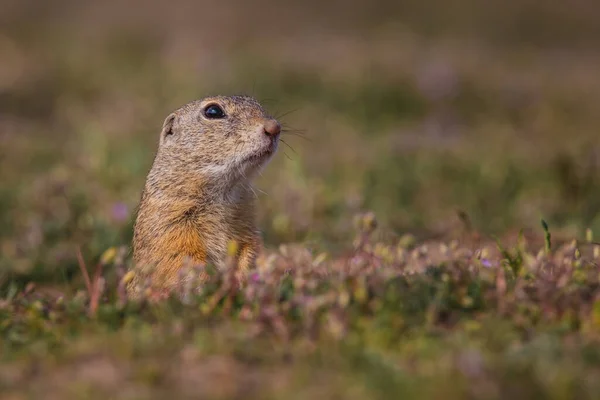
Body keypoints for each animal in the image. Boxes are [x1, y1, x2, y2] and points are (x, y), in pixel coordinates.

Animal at [127, 95, 282, 298]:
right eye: (213, 111)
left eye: (257, 104)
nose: (274, 127)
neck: (225, 191)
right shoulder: (170, 223)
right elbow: (181, 257)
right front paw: (210, 285)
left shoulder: (248, 224)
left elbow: (251, 247)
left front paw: (244, 278)